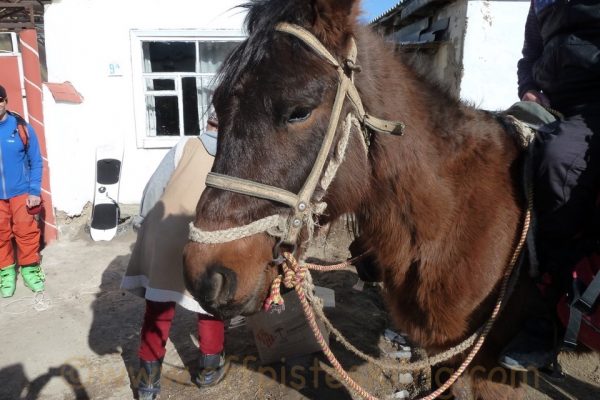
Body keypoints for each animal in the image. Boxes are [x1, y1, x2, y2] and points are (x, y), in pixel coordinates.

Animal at [182, 1, 540, 398]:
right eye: (218, 107)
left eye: (299, 111)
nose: (205, 276)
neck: (456, 219)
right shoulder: (441, 353)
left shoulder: (487, 367)